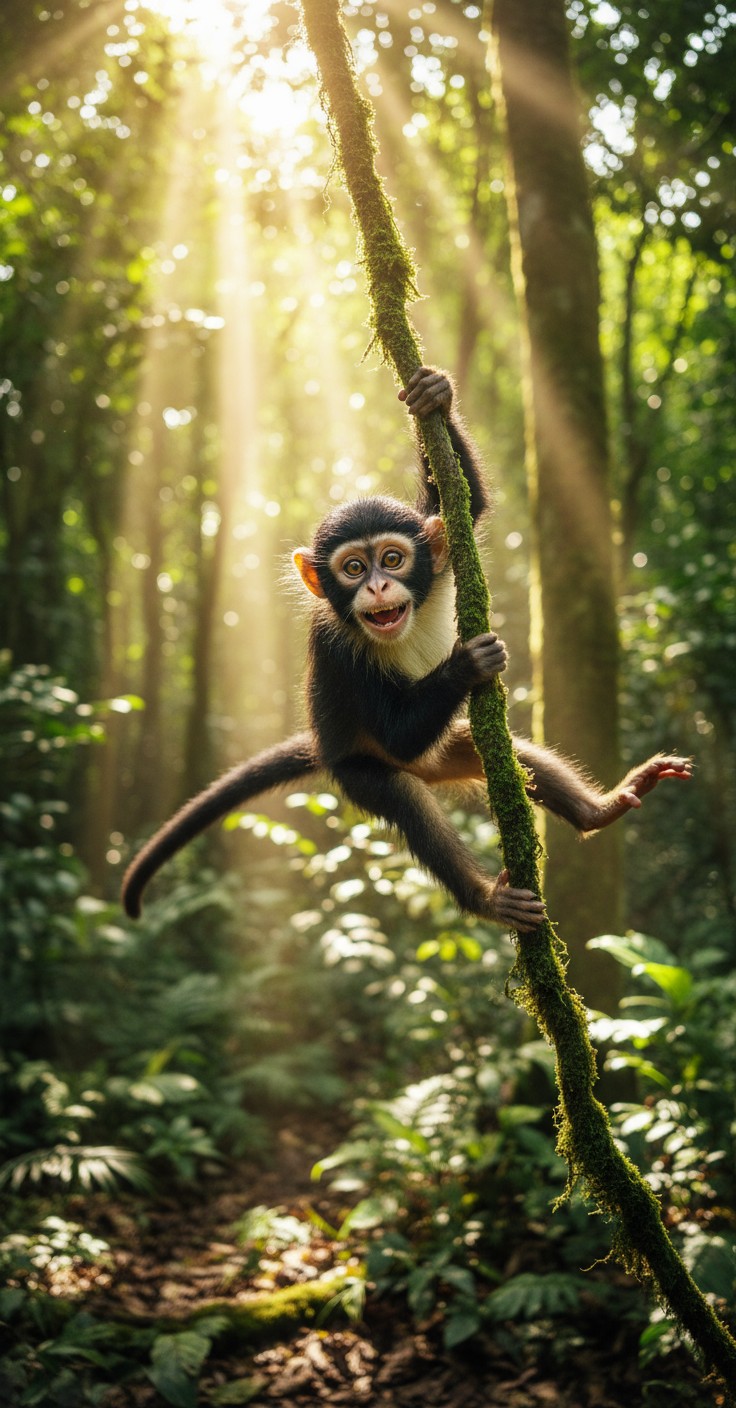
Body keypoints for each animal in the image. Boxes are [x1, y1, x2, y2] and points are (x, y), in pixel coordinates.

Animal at [121, 366, 691, 927]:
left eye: (392, 559)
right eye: (354, 568)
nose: (376, 587)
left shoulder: (439, 562)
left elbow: (463, 504)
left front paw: (434, 394)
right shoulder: (336, 649)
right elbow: (397, 735)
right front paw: (467, 663)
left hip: (445, 751)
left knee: (503, 753)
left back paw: (600, 810)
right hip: (359, 771)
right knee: (407, 799)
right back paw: (487, 899)